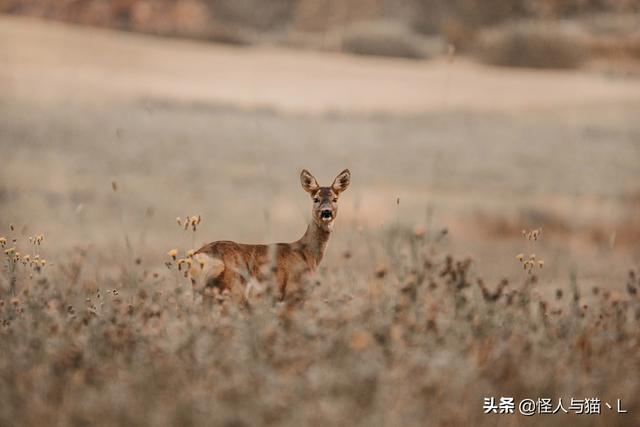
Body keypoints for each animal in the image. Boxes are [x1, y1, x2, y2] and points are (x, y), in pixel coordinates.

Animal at [191, 169, 350, 302]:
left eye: (335, 199)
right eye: (316, 199)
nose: (326, 212)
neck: (308, 253)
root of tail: (199, 256)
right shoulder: (293, 293)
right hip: (232, 288)